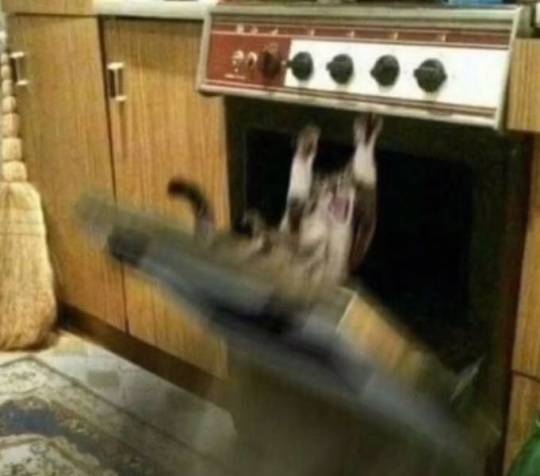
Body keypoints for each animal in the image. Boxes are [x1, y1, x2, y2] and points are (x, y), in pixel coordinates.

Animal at [167, 114, 382, 291]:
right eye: (323, 185)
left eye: (343, 180)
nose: (335, 188)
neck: (329, 225)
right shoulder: (296, 230)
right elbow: (296, 199)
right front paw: (305, 150)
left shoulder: (353, 249)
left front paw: (366, 137)